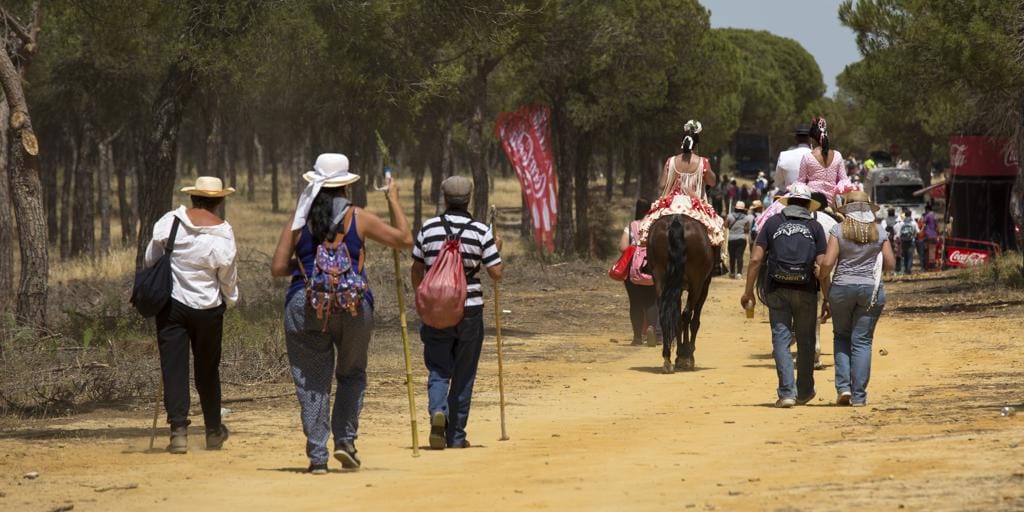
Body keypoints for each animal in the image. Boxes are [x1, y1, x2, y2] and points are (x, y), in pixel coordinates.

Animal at [647, 211, 712, 372]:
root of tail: (676, 220)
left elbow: (675, 317)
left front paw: (678, 354)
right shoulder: (704, 285)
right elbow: (694, 320)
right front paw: (686, 355)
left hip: (660, 278)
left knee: (666, 314)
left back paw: (667, 358)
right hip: (697, 283)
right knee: (687, 314)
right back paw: (686, 356)